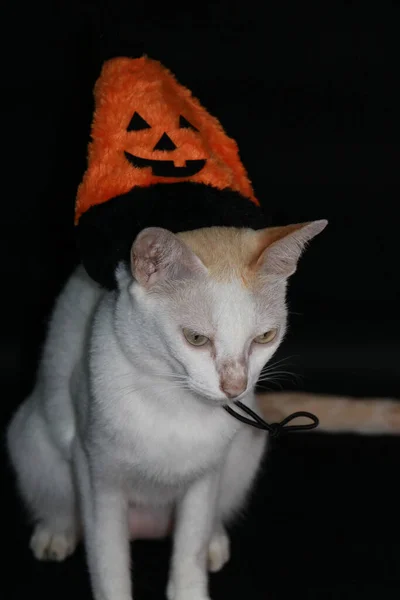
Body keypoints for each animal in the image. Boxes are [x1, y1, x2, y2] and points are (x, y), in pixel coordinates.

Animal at [7, 221, 324, 600]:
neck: (174, 402)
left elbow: (191, 543)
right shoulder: (97, 473)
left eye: (264, 337)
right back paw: (57, 530)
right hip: (31, 444)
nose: (235, 387)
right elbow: (107, 558)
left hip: (245, 454)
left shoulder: (206, 472)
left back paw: (214, 539)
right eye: (196, 339)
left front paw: (190, 589)